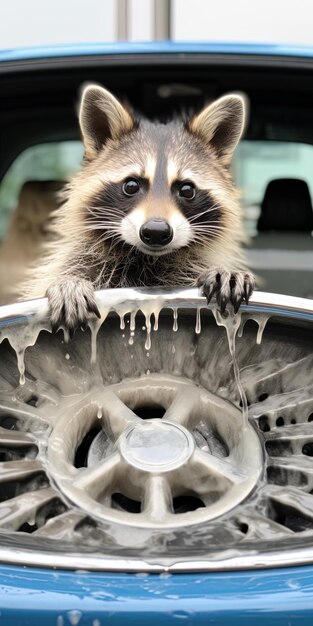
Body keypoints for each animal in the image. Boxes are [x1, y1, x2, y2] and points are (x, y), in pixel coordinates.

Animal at [24, 85, 254, 334]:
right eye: (131, 185)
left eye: (186, 189)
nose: (156, 232)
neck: (147, 260)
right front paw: (68, 282)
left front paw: (225, 271)